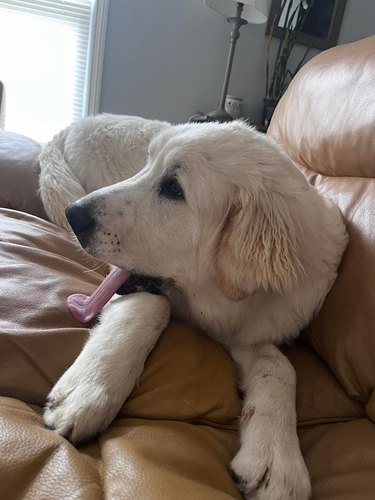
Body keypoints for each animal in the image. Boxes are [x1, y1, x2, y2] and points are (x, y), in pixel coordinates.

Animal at [39, 114, 348, 500]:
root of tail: (68, 129)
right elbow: (152, 309)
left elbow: (280, 367)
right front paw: (88, 391)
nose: (74, 215)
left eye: (173, 189)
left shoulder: (247, 333)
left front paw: (276, 457)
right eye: (148, 164)